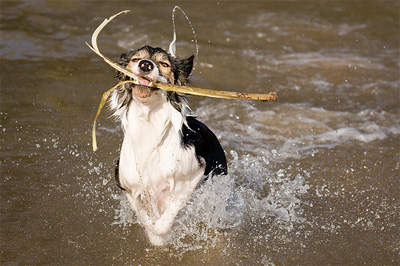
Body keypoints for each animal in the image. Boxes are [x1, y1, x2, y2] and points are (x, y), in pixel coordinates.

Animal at [108, 45, 228, 245]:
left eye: (164, 64)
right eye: (135, 59)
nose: (145, 64)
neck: (149, 120)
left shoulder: (191, 177)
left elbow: (164, 221)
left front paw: (160, 233)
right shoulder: (130, 188)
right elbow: (144, 217)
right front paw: (153, 234)